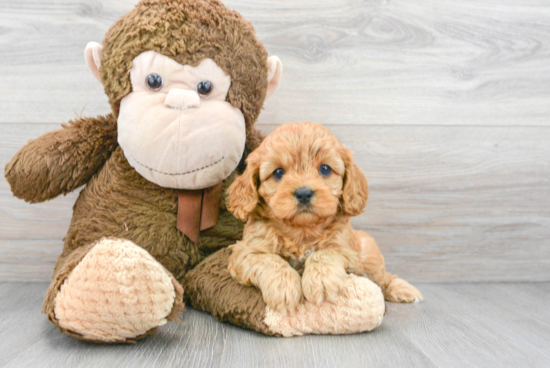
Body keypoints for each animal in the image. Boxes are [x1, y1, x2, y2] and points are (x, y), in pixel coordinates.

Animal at [226, 122, 424, 312]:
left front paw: (320, 281)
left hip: (369, 254)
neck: (302, 231)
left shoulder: (346, 247)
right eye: (278, 172)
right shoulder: (245, 251)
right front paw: (283, 287)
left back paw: (403, 289)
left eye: (325, 169)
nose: (303, 193)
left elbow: (326, 253)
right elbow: (268, 260)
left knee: (383, 278)